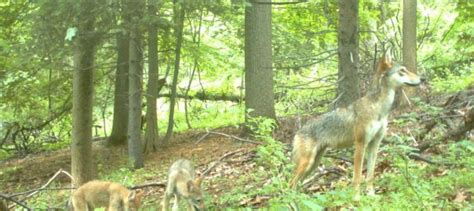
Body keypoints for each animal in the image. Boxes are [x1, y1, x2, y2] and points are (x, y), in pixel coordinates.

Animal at [288, 55, 422, 200]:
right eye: (402, 70)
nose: (423, 78)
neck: (379, 109)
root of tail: (298, 131)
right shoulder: (360, 144)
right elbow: (357, 176)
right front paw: (356, 197)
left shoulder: (375, 145)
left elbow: (370, 175)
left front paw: (371, 194)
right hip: (307, 163)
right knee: (291, 183)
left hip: (314, 164)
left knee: (296, 184)